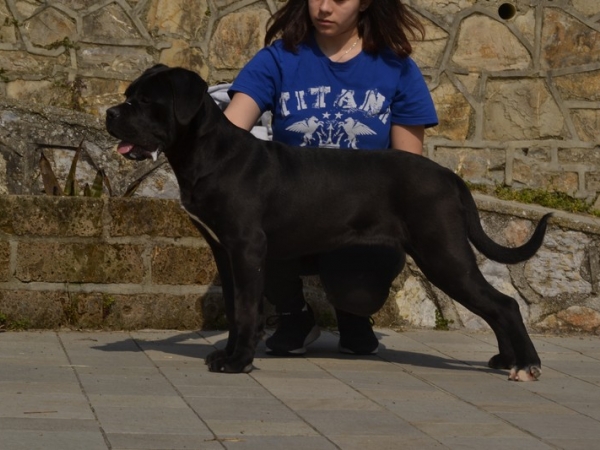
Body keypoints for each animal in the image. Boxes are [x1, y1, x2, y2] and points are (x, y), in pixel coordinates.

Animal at [105, 63, 552, 380]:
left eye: (144, 101)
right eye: (127, 96)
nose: (109, 112)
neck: (206, 152)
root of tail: (450, 176)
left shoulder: (246, 247)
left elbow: (247, 310)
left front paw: (238, 363)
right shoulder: (224, 251)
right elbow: (234, 309)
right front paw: (229, 354)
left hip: (442, 252)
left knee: (505, 304)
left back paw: (527, 365)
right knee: (495, 306)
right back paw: (505, 360)